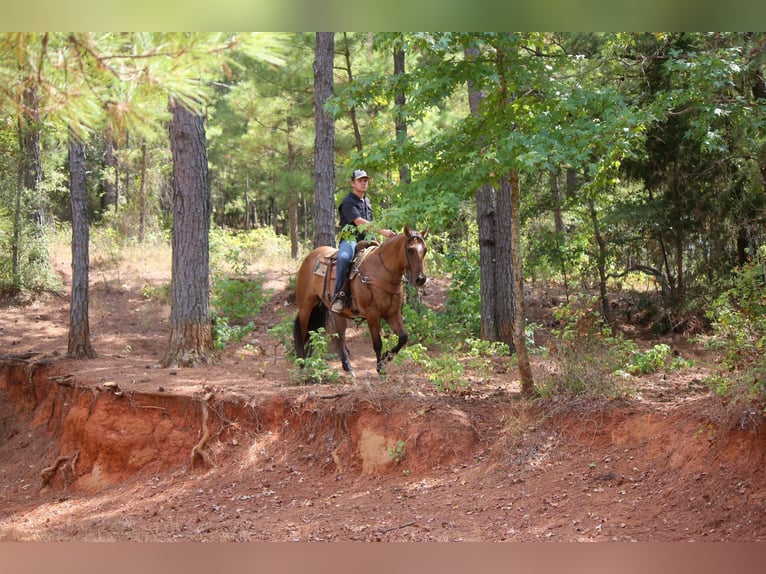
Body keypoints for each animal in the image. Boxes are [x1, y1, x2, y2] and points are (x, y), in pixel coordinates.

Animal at [294, 225, 428, 378]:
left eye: (425, 250)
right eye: (410, 249)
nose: (421, 279)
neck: (381, 271)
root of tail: (310, 257)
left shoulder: (392, 314)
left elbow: (403, 337)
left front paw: (387, 357)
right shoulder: (372, 315)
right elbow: (377, 343)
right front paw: (380, 369)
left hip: (337, 314)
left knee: (339, 338)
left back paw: (348, 368)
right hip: (305, 307)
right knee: (302, 333)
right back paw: (303, 366)